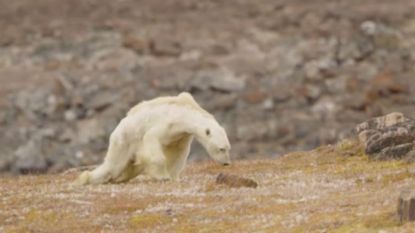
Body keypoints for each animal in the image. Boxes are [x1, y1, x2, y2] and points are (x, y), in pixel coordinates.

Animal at [75, 92, 231, 185]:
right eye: (221, 149)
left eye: (228, 148)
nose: (226, 163)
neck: (184, 111)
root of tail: (119, 126)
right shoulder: (168, 123)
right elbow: (152, 138)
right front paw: (163, 176)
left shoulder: (182, 136)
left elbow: (179, 154)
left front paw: (173, 176)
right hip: (124, 140)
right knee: (114, 166)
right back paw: (85, 178)